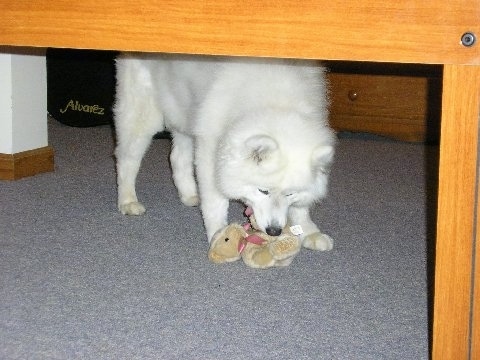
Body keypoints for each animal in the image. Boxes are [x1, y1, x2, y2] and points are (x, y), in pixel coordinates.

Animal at [114, 53, 336, 250]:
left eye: (290, 193)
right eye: (263, 190)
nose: (273, 231)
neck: (277, 104)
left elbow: (301, 208)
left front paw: (309, 231)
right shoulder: (211, 151)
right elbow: (216, 202)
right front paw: (219, 234)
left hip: (185, 114)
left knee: (177, 158)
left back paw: (189, 195)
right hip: (143, 115)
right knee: (126, 160)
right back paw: (128, 201)